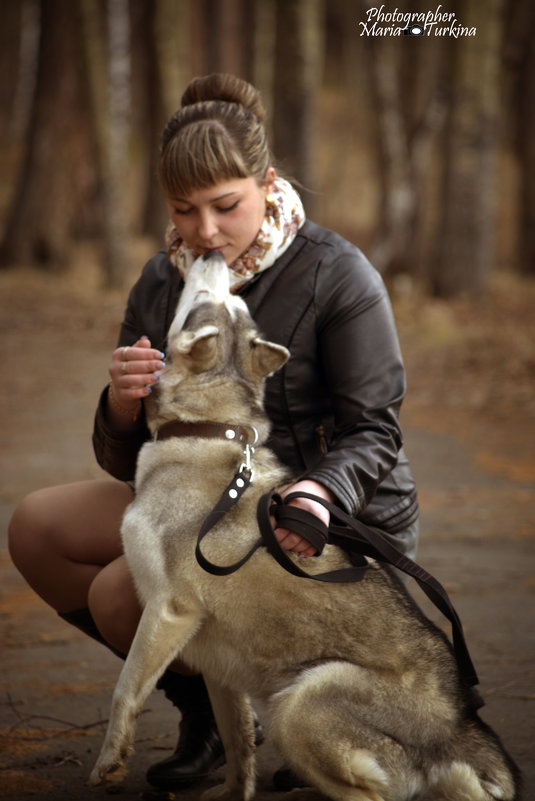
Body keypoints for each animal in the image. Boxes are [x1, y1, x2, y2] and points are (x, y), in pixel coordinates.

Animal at [90, 252, 520, 800]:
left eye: (205, 297)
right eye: (226, 301)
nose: (213, 255)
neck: (204, 430)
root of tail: (463, 727)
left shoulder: (168, 610)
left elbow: (125, 689)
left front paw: (108, 762)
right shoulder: (214, 657)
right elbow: (237, 742)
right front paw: (233, 792)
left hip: (295, 706)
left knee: (370, 794)